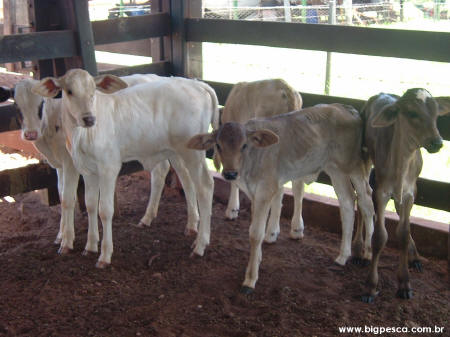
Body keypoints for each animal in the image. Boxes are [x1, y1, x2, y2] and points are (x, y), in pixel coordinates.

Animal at [188, 103, 374, 292]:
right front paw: (258, 259)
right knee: (347, 202)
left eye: (244, 145)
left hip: (353, 166)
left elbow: (255, 234)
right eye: (218, 145)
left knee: (366, 202)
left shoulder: (265, 191)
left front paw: (250, 278)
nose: (230, 173)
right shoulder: (254, 194)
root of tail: (346, 107)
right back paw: (343, 256)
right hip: (335, 169)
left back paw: (367, 252)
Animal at [362, 88, 450, 300]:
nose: (437, 142)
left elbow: (403, 233)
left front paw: (404, 283)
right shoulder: (381, 191)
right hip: (365, 157)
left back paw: (415, 257)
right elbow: (380, 237)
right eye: (412, 113)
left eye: (436, 113)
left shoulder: (411, 192)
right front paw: (370, 286)